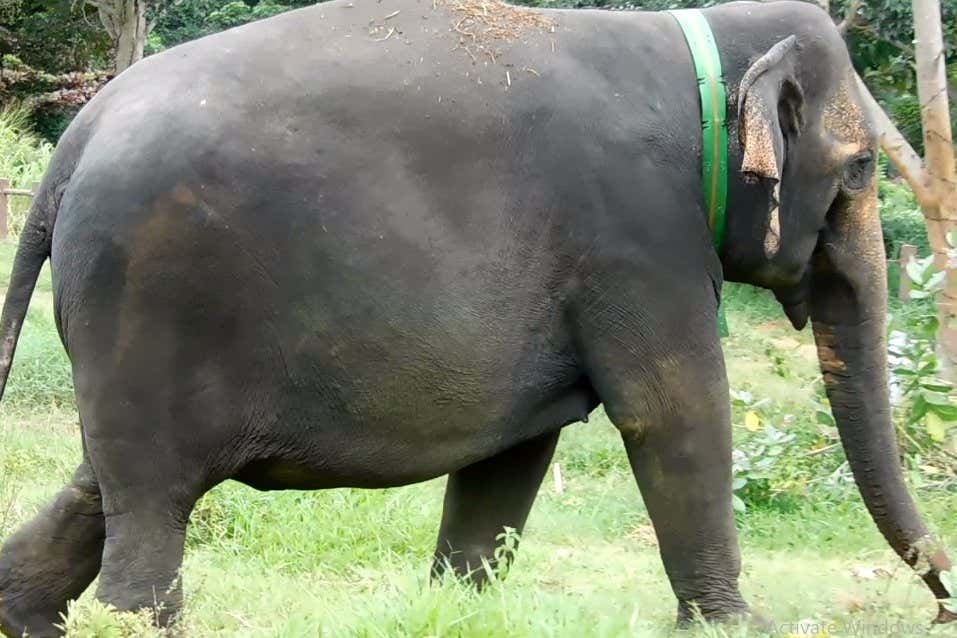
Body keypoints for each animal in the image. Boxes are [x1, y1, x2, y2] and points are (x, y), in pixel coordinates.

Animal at [0, 0, 953, 635]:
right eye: (861, 166)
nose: (943, 600)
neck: (692, 40)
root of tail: (76, 142)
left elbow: (511, 456)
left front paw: (452, 608)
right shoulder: (638, 237)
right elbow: (670, 411)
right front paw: (735, 628)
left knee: (105, 483)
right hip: (153, 295)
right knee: (151, 505)